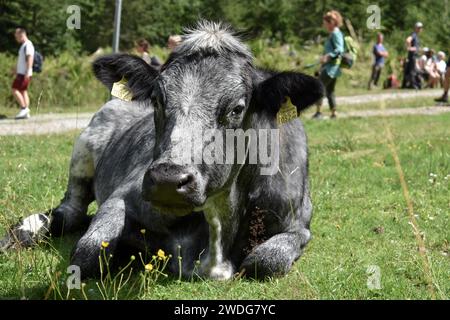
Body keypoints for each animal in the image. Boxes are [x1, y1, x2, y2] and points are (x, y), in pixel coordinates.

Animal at [0, 21, 324, 280]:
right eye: (156, 99)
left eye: (236, 108)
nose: (168, 180)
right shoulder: (124, 195)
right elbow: (87, 252)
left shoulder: (298, 225)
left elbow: (264, 261)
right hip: (83, 152)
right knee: (71, 211)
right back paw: (21, 232)